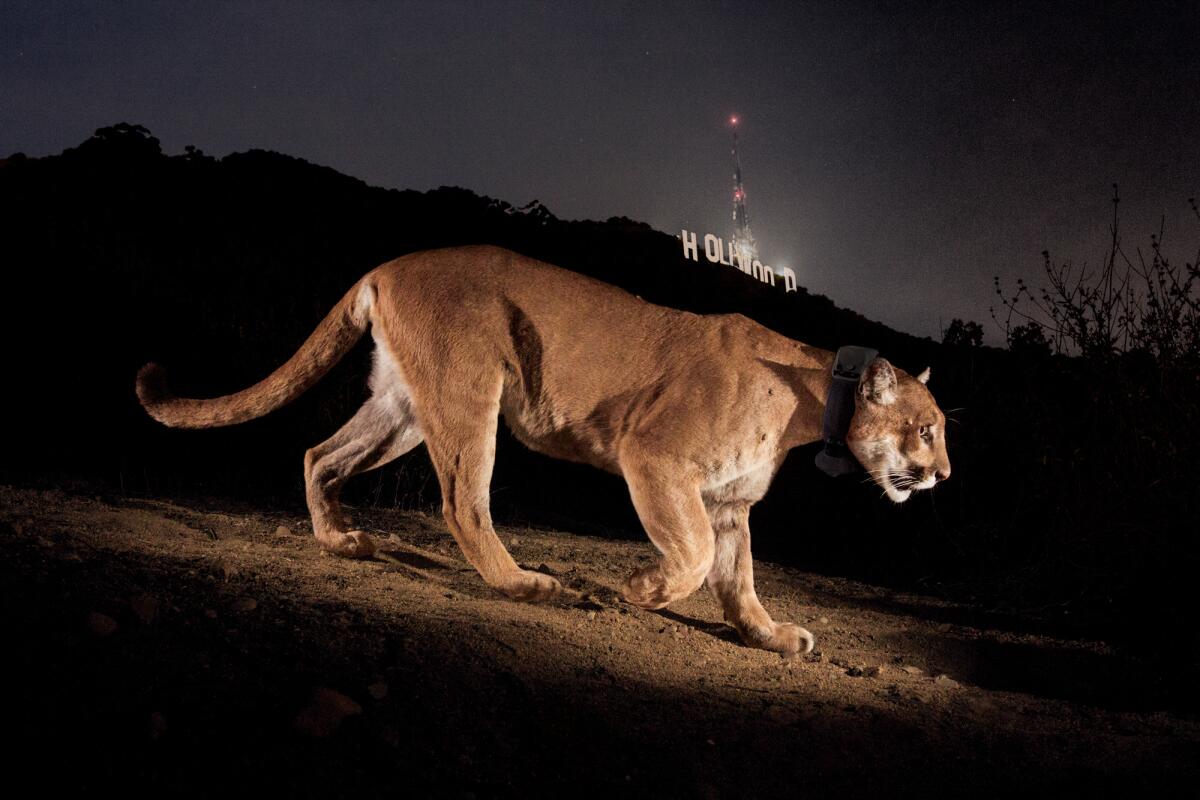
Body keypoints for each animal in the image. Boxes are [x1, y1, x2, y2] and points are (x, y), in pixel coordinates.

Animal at [138, 245, 945, 657]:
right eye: (928, 427)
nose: (942, 473)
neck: (812, 399)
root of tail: (390, 264)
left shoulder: (729, 502)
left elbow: (738, 580)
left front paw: (772, 635)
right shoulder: (655, 458)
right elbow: (690, 559)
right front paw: (639, 588)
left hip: (403, 407)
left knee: (318, 455)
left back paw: (341, 540)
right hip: (470, 392)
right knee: (463, 503)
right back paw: (529, 585)